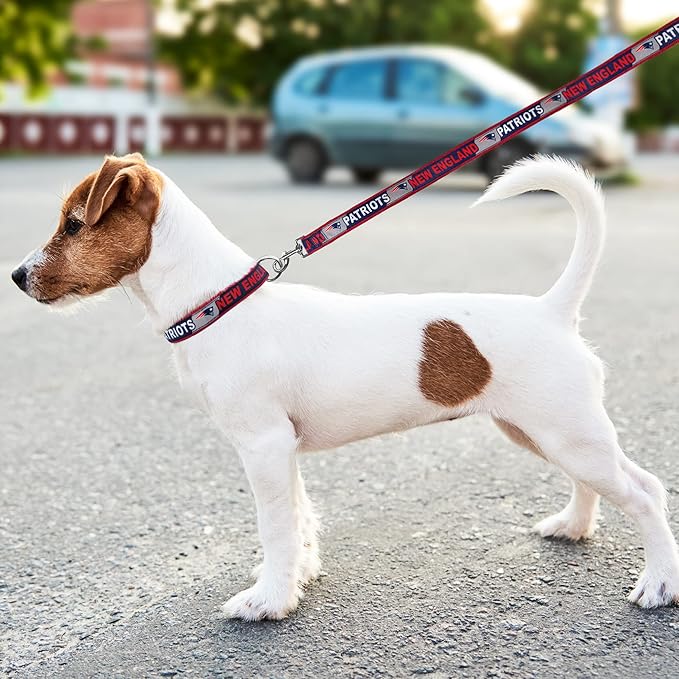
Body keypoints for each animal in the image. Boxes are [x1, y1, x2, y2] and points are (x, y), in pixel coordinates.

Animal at [11, 154, 679, 620]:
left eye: (73, 224)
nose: (16, 277)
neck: (219, 303)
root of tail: (552, 310)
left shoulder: (262, 447)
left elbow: (275, 528)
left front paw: (269, 600)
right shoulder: (282, 450)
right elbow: (300, 516)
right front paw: (299, 577)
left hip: (569, 433)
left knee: (647, 492)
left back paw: (659, 583)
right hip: (541, 431)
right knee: (596, 484)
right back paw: (573, 526)